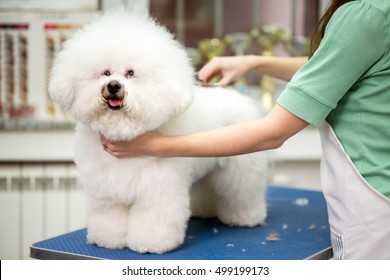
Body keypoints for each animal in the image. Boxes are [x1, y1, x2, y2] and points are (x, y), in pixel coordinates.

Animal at [48, 8, 268, 254]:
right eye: (105, 72)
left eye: (130, 73)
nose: (113, 85)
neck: (124, 132)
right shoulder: (106, 191)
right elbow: (109, 218)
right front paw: (107, 239)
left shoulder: (158, 191)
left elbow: (153, 219)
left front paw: (150, 243)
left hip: (240, 170)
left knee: (243, 193)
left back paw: (245, 217)